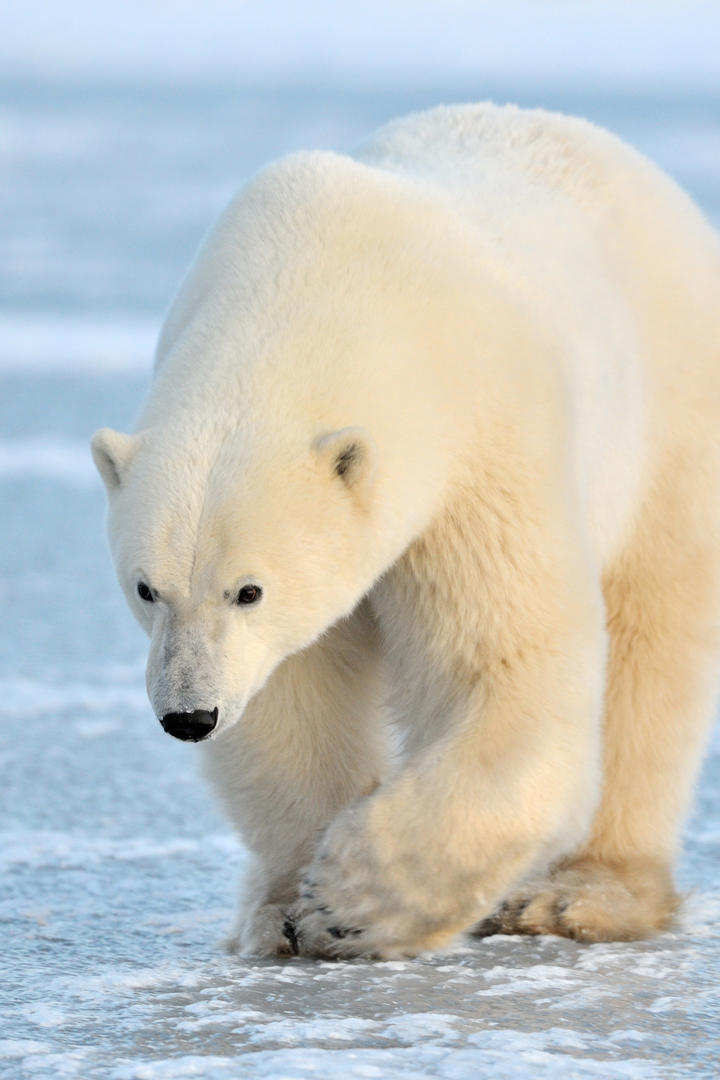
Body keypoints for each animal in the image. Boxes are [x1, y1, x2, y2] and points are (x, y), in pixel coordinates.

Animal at [92, 105, 720, 959]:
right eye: (146, 588)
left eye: (250, 590)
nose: (189, 716)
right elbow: (293, 696)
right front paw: (287, 909)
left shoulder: (481, 448)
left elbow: (503, 666)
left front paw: (349, 900)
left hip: (666, 425)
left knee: (649, 653)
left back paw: (580, 895)